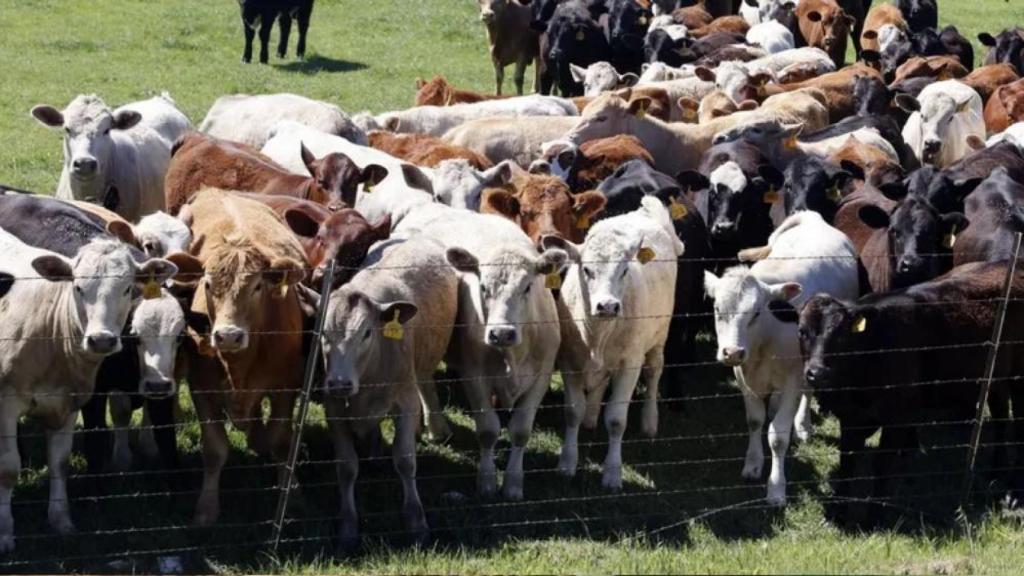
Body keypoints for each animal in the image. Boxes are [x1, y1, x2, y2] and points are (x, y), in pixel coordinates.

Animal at [0, 229, 177, 553]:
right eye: (78, 288)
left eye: (127, 289)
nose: (101, 340)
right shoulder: (6, 403)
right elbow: (7, 468)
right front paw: (5, 532)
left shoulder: (67, 402)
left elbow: (59, 463)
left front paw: (60, 520)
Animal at [170, 188, 308, 526]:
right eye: (207, 284)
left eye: (257, 286)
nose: (228, 335)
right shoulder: (202, 386)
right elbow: (215, 449)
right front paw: (207, 507)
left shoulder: (287, 385)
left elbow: (280, 441)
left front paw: (293, 495)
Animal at [322, 237, 458, 550]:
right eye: (322, 334)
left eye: (366, 333)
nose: (339, 383)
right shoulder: (333, 409)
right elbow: (346, 467)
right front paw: (348, 528)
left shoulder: (405, 401)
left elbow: (405, 460)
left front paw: (417, 522)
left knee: (425, 384)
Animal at [541, 196, 683, 490]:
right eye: (586, 269)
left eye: (625, 270)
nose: (607, 305)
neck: (597, 334)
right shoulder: (569, 362)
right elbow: (572, 412)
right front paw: (567, 462)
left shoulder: (630, 364)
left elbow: (617, 420)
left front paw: (612, 473)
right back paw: (591, 416)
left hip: (659, 337)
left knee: (654, 373)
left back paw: (649, 420)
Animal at [704, 210, 859, 505]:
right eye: (717, 309)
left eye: (756, 312)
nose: (732, 352)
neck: (764, 340)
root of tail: (812, 218)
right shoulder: (744, 379)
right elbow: (755, 421)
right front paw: (753, 464)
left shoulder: (792, 381)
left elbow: (778, 436)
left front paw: (776, 488)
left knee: (808, 392)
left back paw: (803, 426)